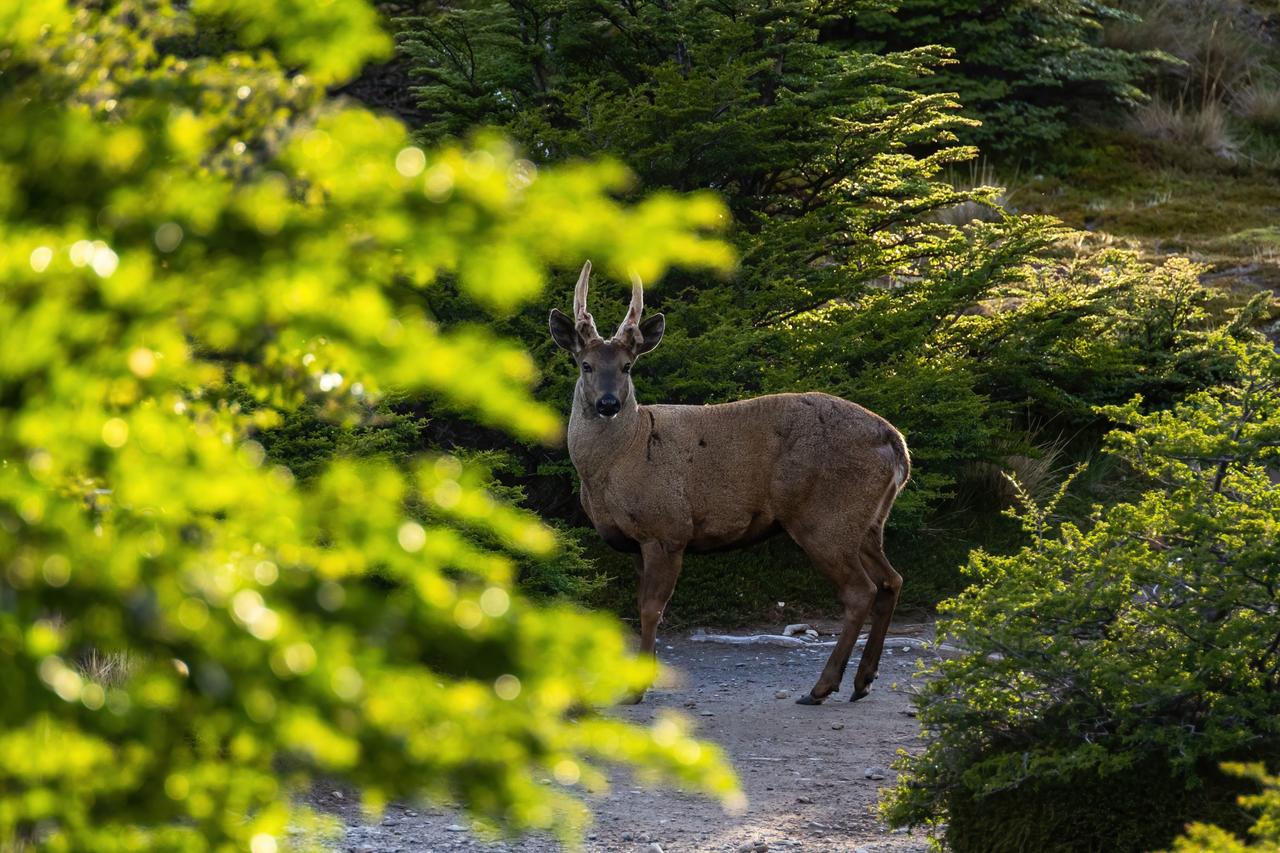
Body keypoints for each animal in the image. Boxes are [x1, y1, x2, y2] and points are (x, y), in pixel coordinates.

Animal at [550, 262, 911, 701]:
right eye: (585, 365)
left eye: (627, 367)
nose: (608, 403)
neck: (620, 458)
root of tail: (897, 444)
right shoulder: (637, 541)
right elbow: (641, 606)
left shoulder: (667, 528)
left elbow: (651, 610)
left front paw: (639, 688)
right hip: (867, 523)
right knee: (891, 580)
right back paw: (862, 681)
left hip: (826, 518)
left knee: (861, 591)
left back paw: (822, 687)